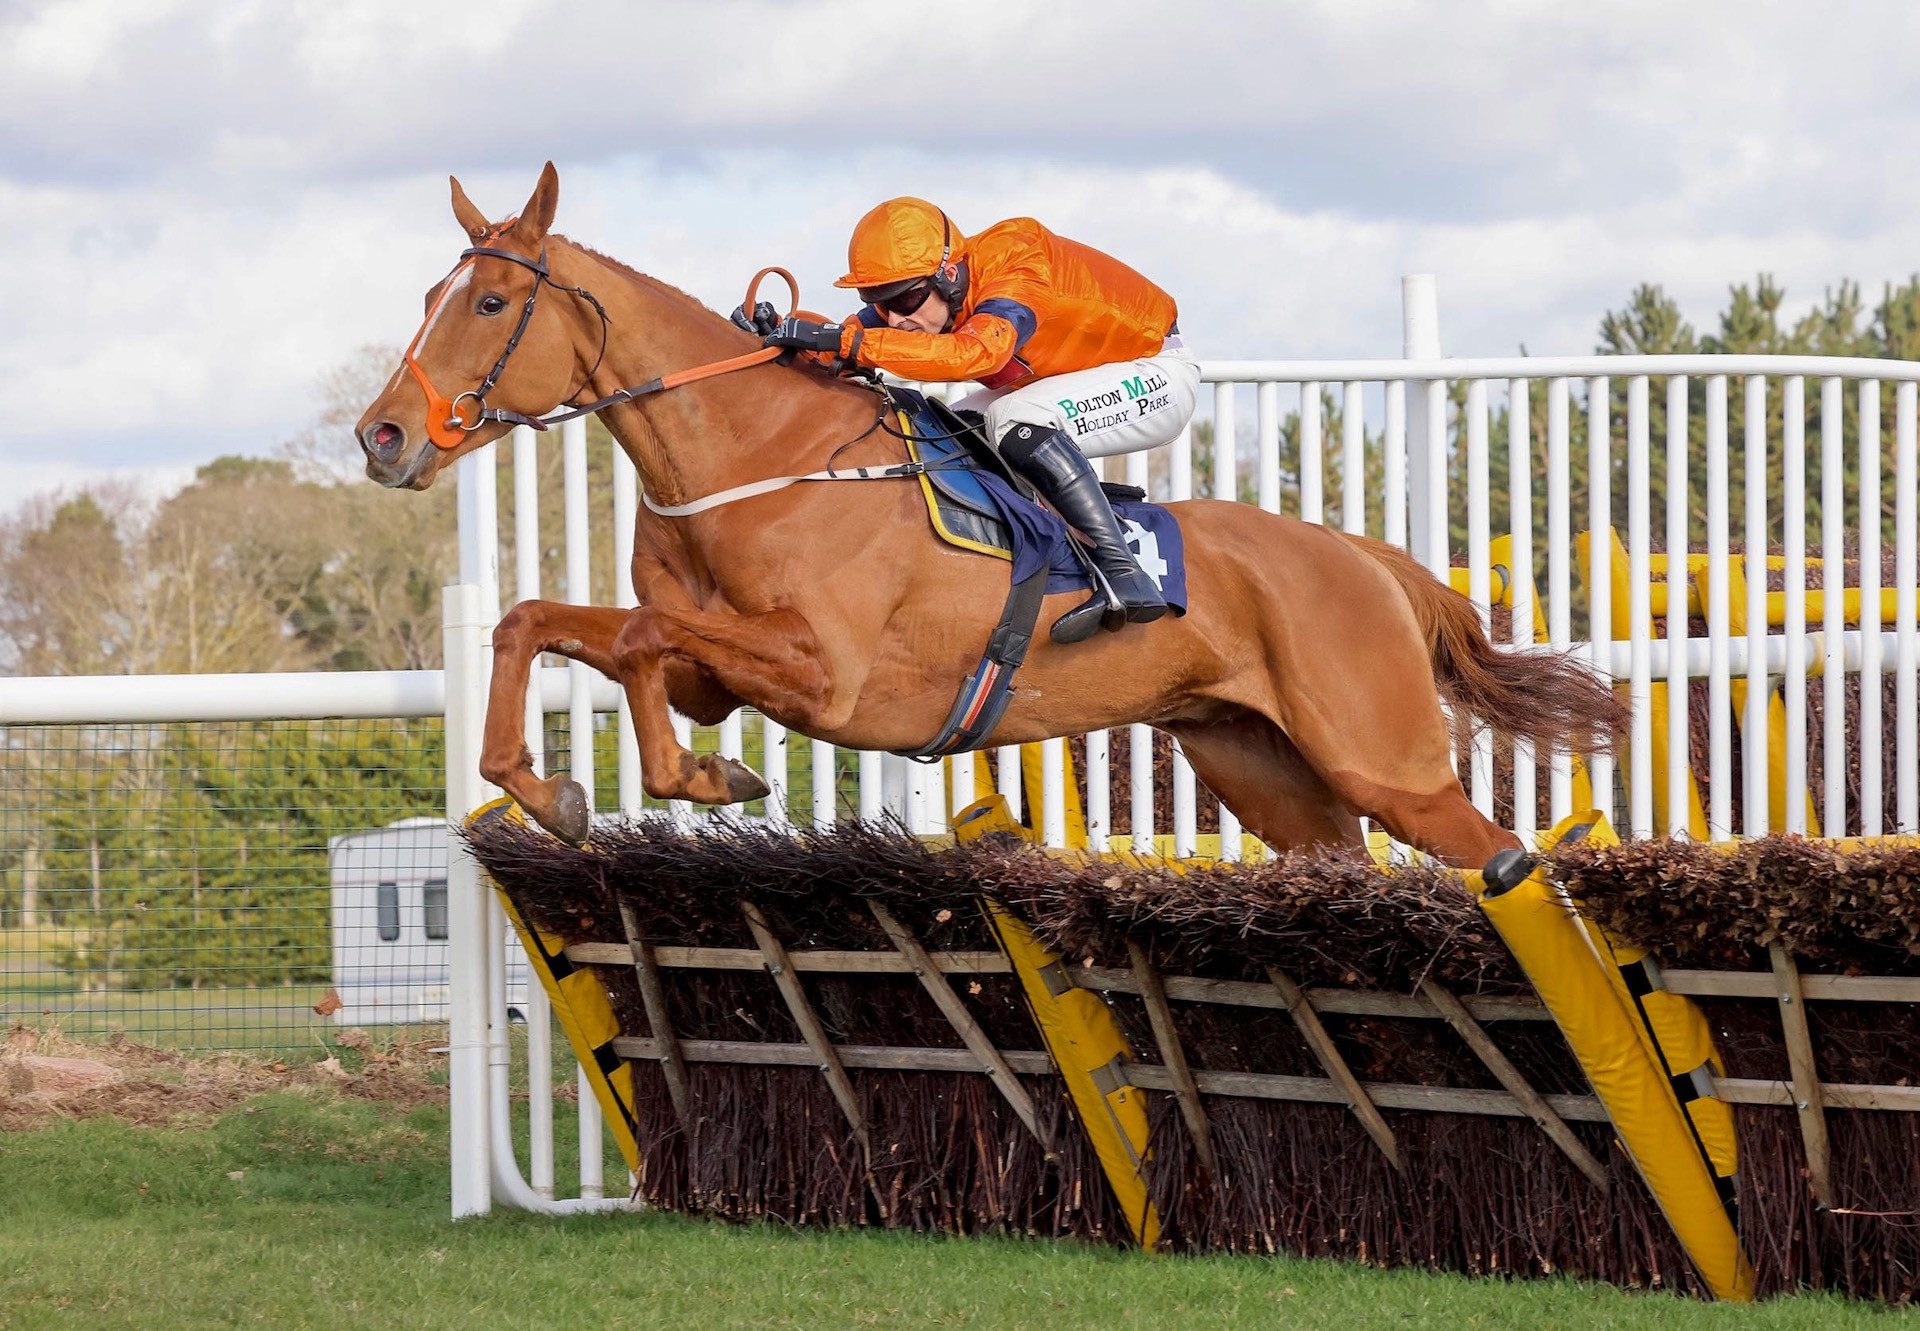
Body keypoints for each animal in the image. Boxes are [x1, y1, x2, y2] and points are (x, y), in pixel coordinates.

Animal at [349, 166, 1620, 868]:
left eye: (491, 301)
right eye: (430, 294)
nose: (384, 435)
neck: (756, 455)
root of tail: (1364, 559)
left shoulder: (826, 673)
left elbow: (642, 639)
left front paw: (698, 778)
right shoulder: (726, 669)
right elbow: (550, 624)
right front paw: (557, 787)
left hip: (1384, 760)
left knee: (1504, 855)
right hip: (1264, 769)